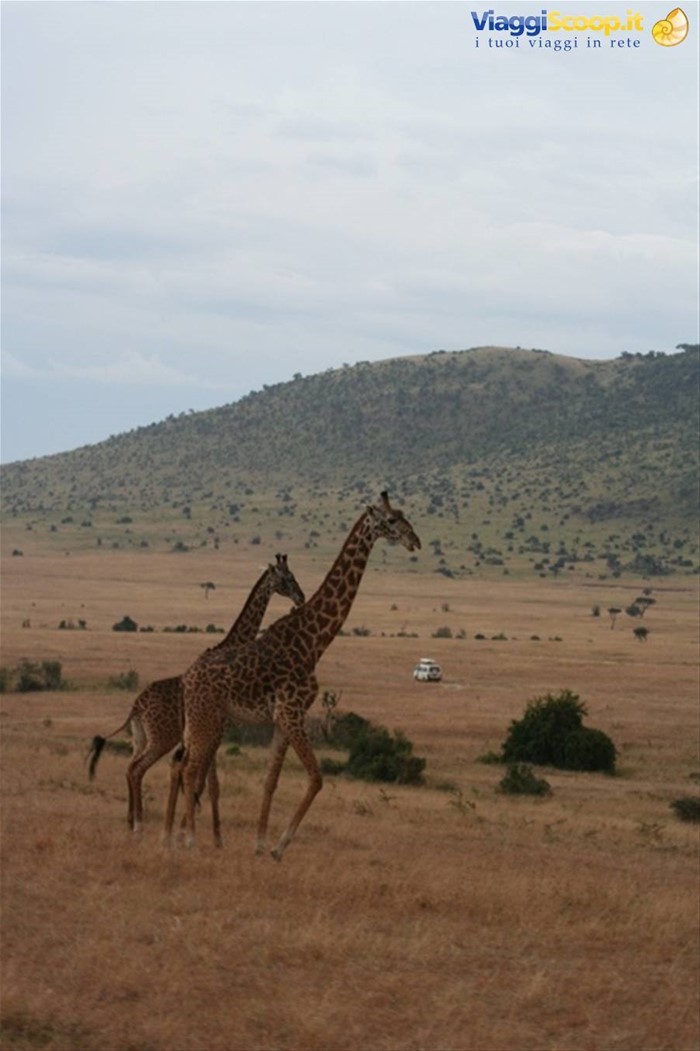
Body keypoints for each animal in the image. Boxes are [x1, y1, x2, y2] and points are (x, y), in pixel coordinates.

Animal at [87, 554, 305, 846]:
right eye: (288, 577)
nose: (301, 597)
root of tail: (136, 707)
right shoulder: (219, 730)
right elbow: (208, 784)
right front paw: (208, 837)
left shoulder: (214, 732)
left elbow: (210, 785)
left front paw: (211, 836)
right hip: (162, 738)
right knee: (137, 769)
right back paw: (139, 826)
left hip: (141, 737)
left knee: (130, 767)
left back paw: (131, 821)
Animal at [170, 491, 421, 860]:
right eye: (390, 520)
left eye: (403, 514)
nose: (415, 540)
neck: (314, 641)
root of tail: (186, 679)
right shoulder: (291, 712)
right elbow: (316, 777)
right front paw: (279, 846)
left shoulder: (283, 717)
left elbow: (270, 780)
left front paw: (260, 844)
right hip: (207, 720)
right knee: (189, 770)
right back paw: (188, 840)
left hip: (202, 722)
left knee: (186, 767)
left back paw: (180, 836)